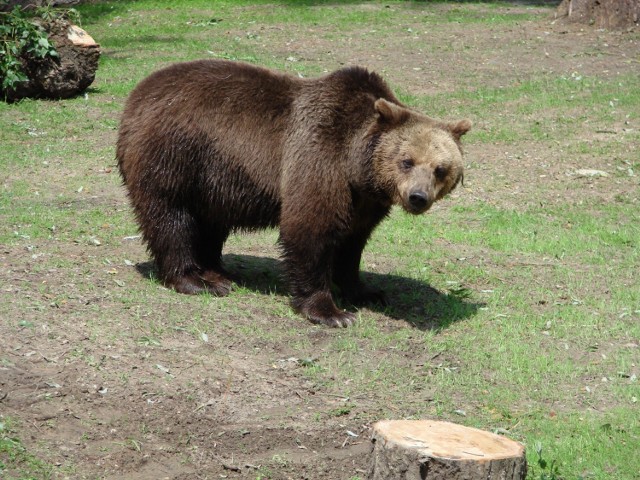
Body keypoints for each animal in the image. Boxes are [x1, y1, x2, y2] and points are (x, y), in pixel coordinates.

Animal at [117, 60, 472, 328]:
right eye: (406, 161)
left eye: (441, 168)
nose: (418, 197)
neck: (358, 168)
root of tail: (137, 94)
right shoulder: (320, 159)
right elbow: (310, 229)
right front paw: (331, 312)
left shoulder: (365, 201)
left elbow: (353, 243)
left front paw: (366, 291)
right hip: (175, 155)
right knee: (171, 217)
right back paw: (198, 280)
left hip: (214, 179)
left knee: (210, 223)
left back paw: (217, 271)